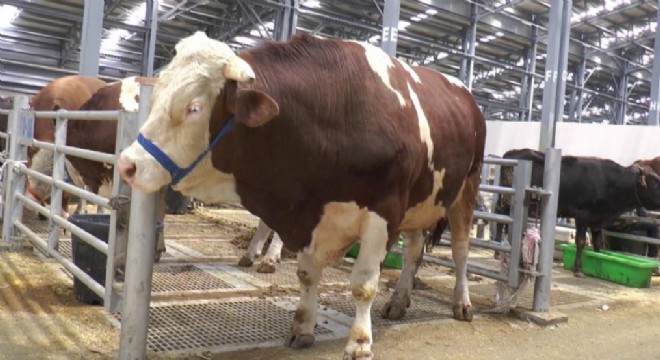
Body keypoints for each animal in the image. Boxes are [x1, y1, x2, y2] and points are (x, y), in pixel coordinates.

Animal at [117, 32, 484, 358]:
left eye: (194, 107)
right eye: (157, 94)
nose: (127, 164)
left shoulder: (383, 211)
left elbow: (363, 284)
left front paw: (359, 343)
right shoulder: (308, 212)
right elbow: (307, 275)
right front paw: (303, 328)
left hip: (467, 188)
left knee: (460, 250)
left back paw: (462, 303)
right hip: (423, 199)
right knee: (414, 251)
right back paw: (398, 300)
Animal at [492, 148, 660, 278]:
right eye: (655, 182)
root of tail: (513, 152)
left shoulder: (597, 220)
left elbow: (597, 243)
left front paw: (598, 261)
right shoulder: (582, 216)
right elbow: (581, 242)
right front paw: (577, 270)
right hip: (507, 199)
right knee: (499, 218)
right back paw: (496, 251)